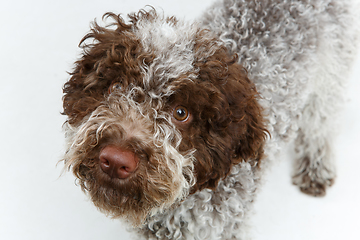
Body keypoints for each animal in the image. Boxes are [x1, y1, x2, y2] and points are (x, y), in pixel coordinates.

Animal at [62, 0, 358, 239]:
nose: (115, 160)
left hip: (331, 76)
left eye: (181, 113)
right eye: (115, 87)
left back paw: (316, 168)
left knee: (319, 125)